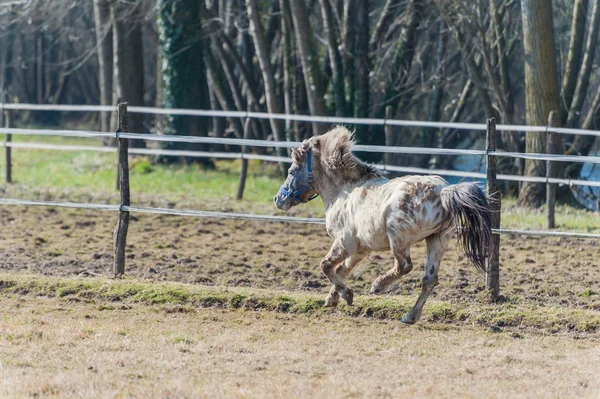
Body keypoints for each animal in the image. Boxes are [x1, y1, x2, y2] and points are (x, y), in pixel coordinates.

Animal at [274, 127, 490, 324]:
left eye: (291, 171)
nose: (278, 199)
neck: (343, 191)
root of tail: (443, 191)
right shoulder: (360, 250)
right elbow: (341, 270)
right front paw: (333, 299)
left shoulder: (344, 243)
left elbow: (326, 266)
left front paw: (346, 295)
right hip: (437, 240)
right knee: (429, 280)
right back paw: (410, 316)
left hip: (398, 238)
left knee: (404, 266)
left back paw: (378, 285)